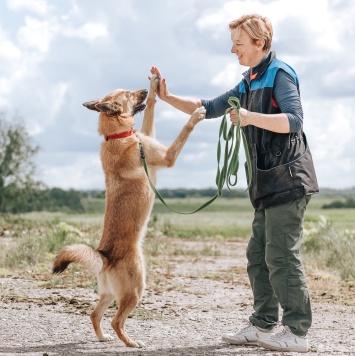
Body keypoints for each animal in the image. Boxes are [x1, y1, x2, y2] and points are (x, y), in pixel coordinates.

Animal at [52, 72, 206, 348]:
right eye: (128, 94)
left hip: (110, 293)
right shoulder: (167, 155)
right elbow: (184, 131)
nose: (143, 89)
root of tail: (104, 255)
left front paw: (155, 90)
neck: (119, 134)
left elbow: (150, 112)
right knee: (116, 321)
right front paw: (196, 114)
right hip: (136, 289)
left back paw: (102, 337)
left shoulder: (147, 133)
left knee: (95, 314)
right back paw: (131, 343)